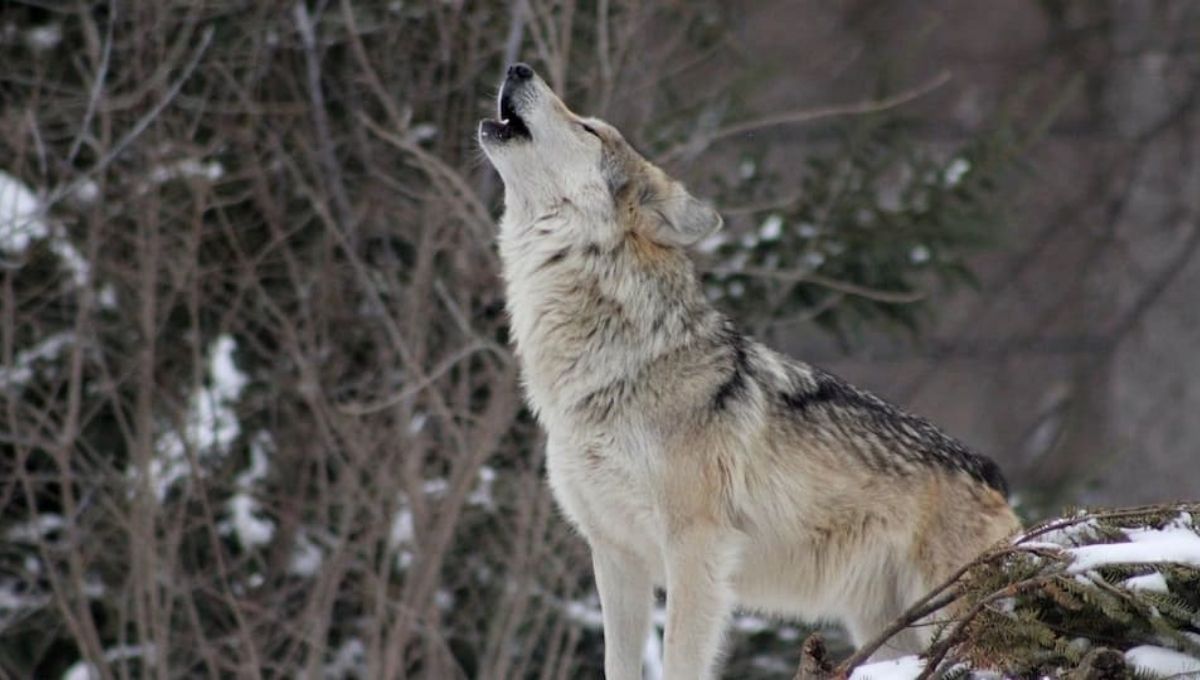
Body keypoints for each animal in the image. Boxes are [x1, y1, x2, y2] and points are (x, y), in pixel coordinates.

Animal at [479, 63, 1019, 680]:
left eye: (588, 128)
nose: (518, 67)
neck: (614, 365)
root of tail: (992, 474)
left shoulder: (696, 548)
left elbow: (680, 660)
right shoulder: (615, 555)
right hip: (886, 631)